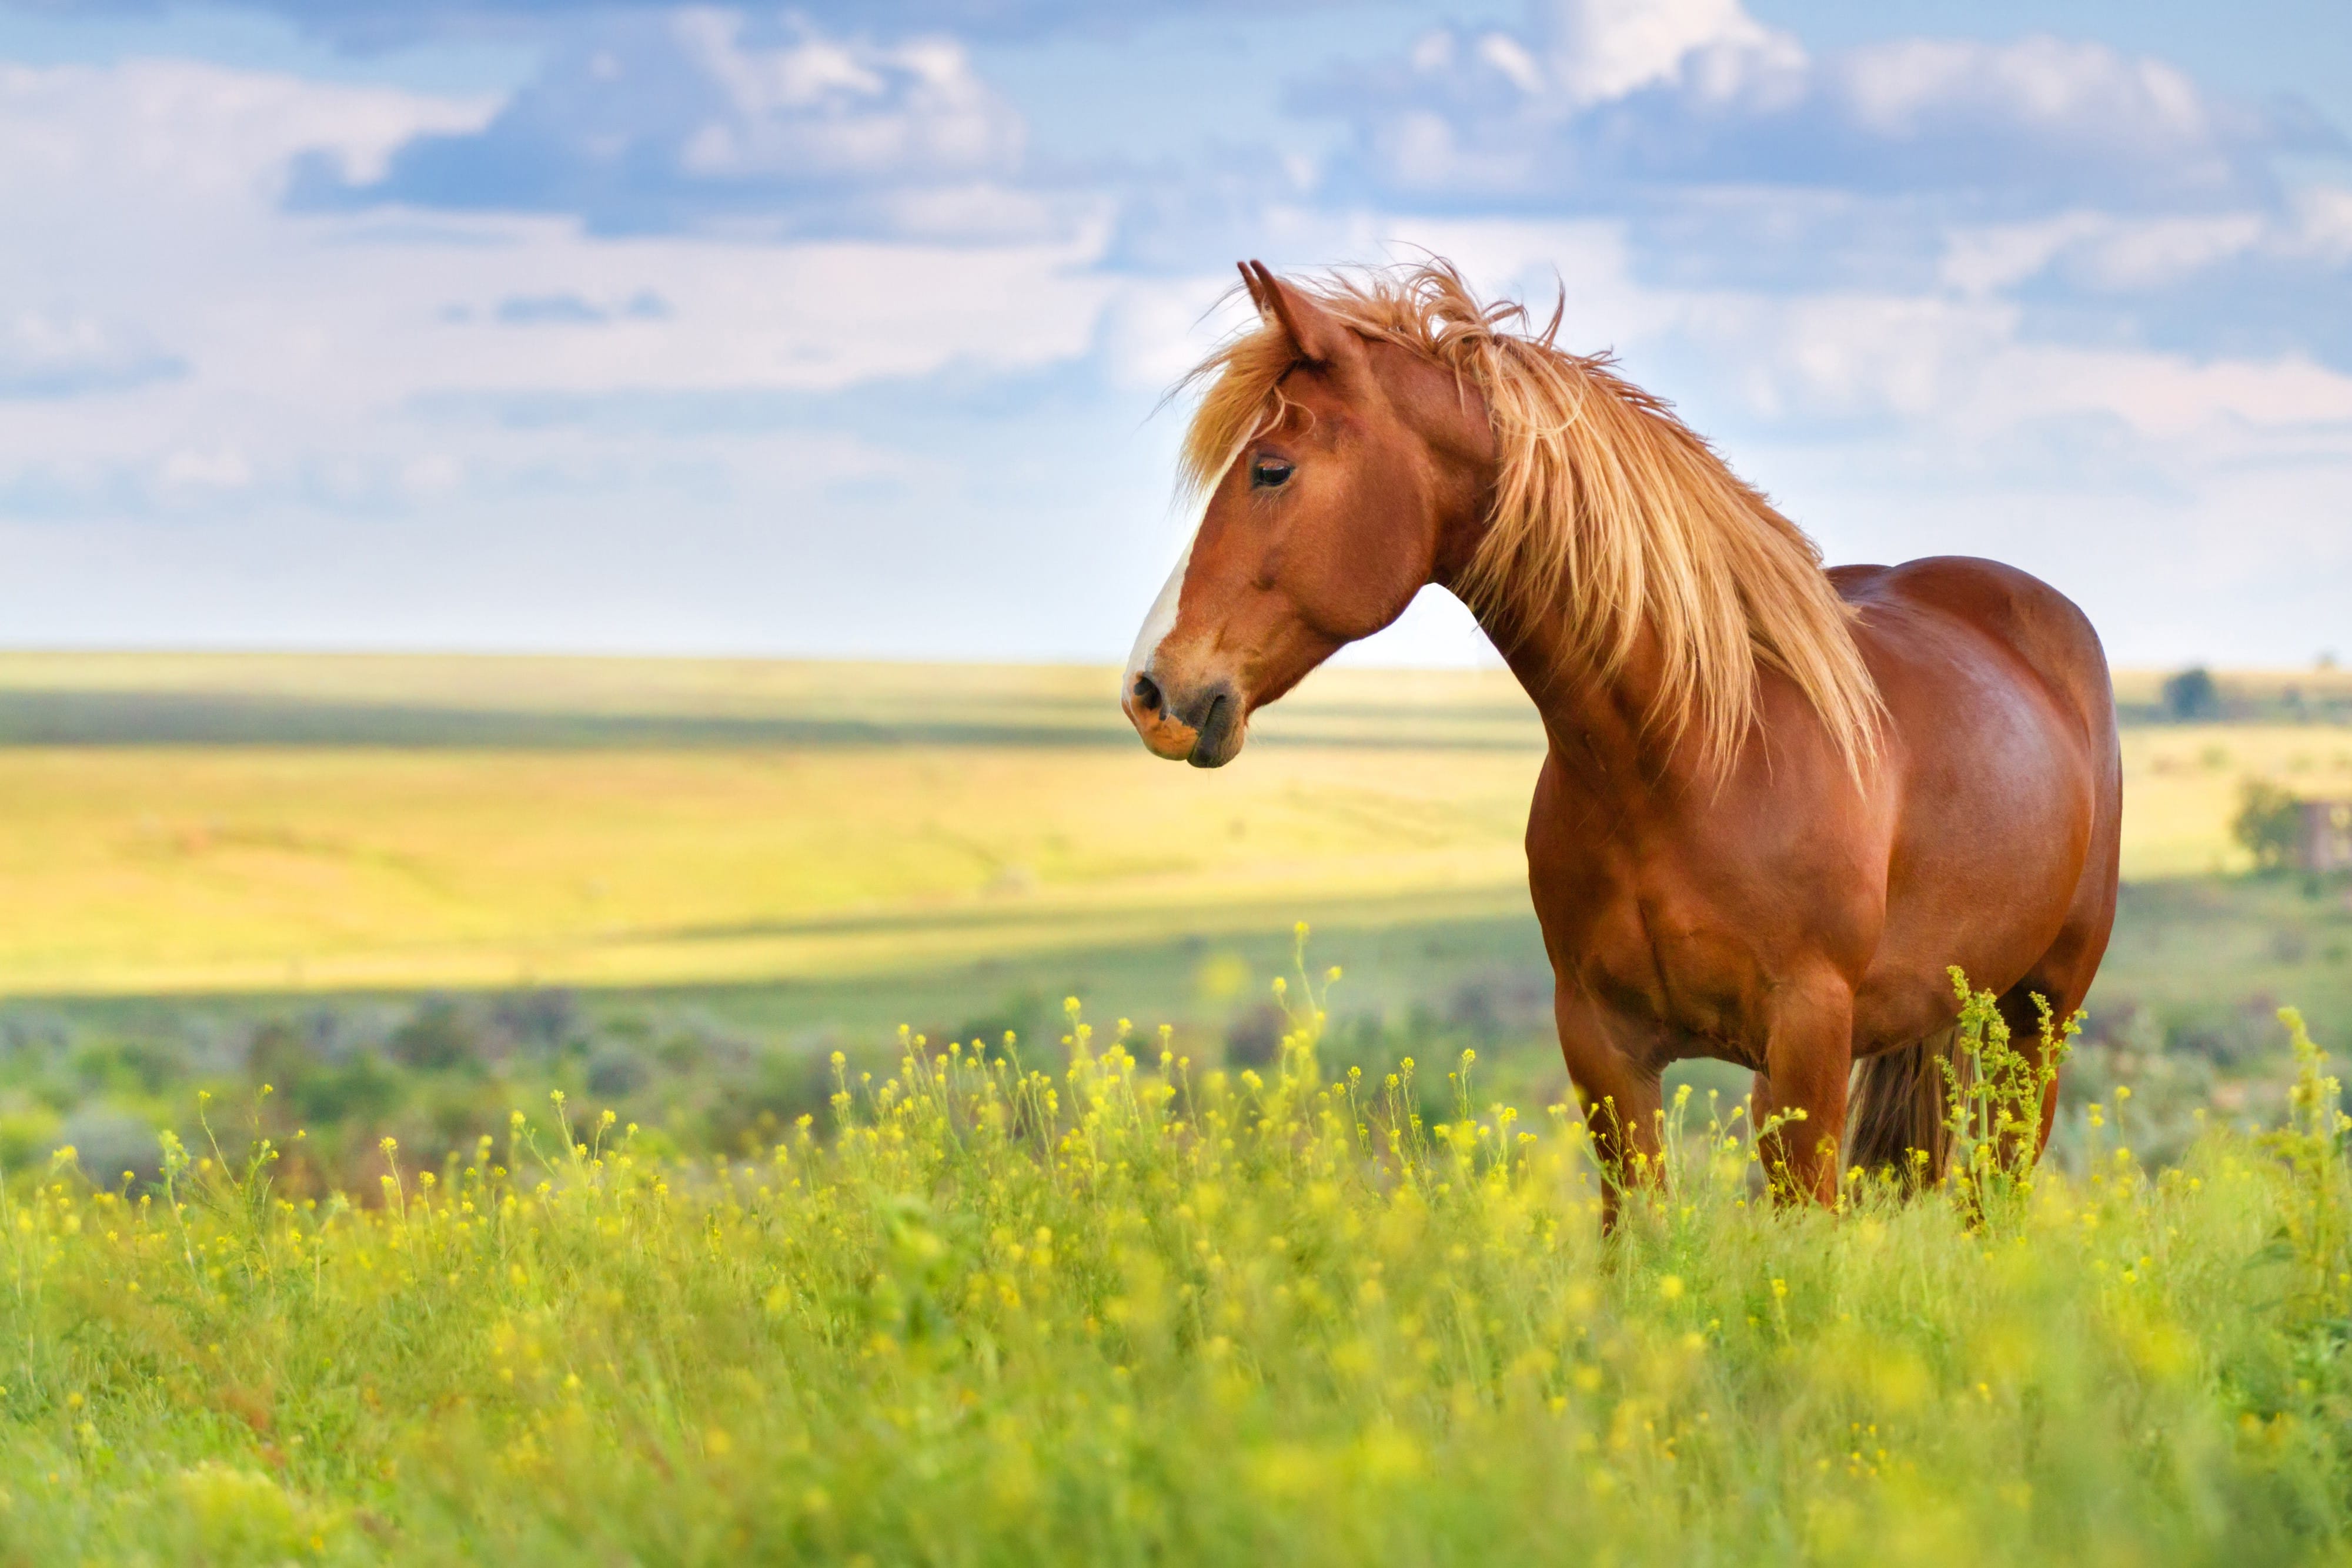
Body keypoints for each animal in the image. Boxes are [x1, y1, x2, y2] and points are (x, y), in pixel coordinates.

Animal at [1120, 259, 2121, 1215]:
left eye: (1271, 468)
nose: (1150, 690)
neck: (1688, 760)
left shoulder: (1807, 1043)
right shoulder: (1604, 1045)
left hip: (2039, 1021)